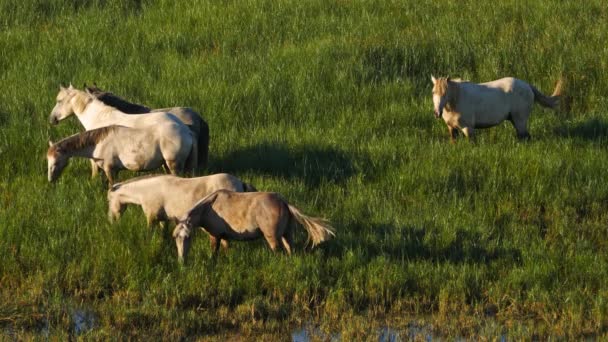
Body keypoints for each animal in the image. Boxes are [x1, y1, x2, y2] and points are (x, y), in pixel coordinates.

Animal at [47, 125, 195, 186]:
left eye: (55, 162)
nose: (50, 180)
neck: (99, 142)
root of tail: (187, 132)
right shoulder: (114, 170)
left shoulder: (110, 169)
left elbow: (112, 185)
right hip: (166, 165)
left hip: (174, 165)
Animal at [108, 174, 255, 248]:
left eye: (108, 200)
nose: (111, 220)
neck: (146, 191)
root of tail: (240, 183)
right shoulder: (163, 219)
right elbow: (163, 233)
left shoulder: (151, 217)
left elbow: (149, 233)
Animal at [171, 190, 334, 262]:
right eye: (175, 237)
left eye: (187, 237)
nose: (181, 259)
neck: (209, 207)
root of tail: (282, 201)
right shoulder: (224, 237)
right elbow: (226, 248)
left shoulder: (215, 235)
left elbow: (214, 252)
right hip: (287, 235)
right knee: (290, 250)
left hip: (272, 237)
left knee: (278, 251)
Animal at [432, 76, 560, 142]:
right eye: (433, 92)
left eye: (445, 93)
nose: (437, 113)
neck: (457, 99)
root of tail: (527, 85)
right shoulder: (452, 128)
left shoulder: (468, 128)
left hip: (520, 120)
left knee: (525, 136)